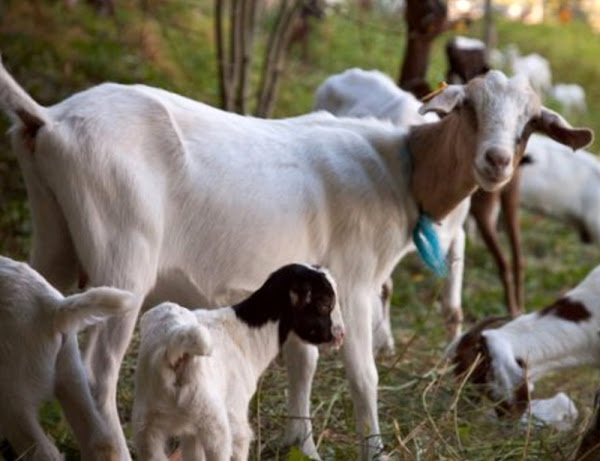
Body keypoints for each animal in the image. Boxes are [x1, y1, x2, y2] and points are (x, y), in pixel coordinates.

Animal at [134, 262, 344, 460]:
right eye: (324, 303)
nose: (340, 335)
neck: (248, 333)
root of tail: (175, 346)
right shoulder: (236, 413)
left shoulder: (191, 433)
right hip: (212, 420)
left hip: (149, 424)